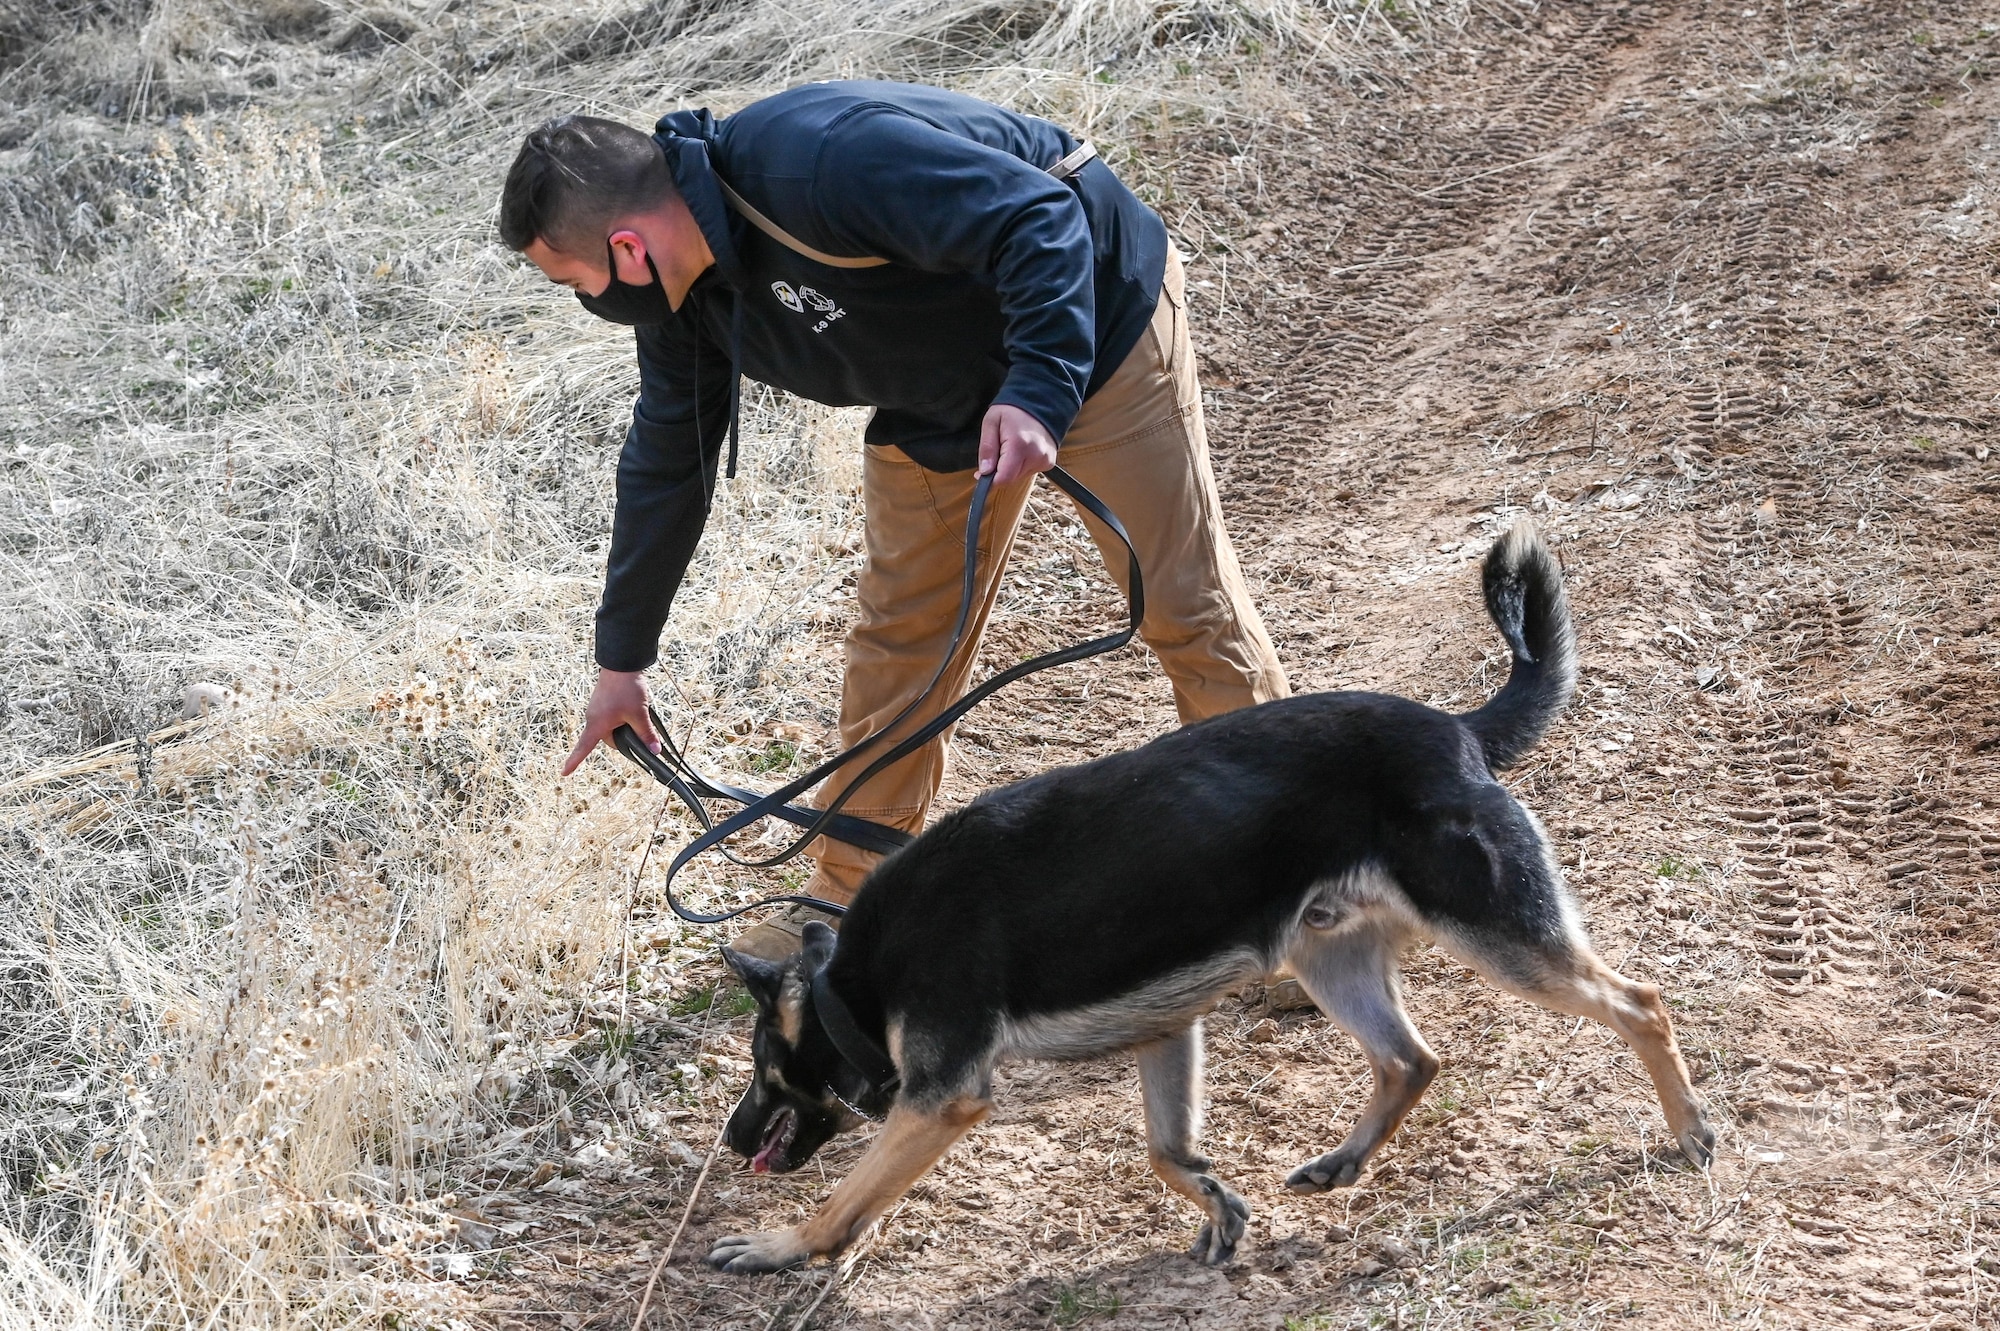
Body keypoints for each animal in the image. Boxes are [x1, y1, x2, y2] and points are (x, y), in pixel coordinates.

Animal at [708, 523, 1720, 1271]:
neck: (855, 984)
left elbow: (848, 1195)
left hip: (1496, 932)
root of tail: (1456, 730)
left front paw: (780, 1243)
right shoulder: (1166, 1024)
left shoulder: (943, 1100)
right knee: (1412, 1061)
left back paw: (1692, 1129)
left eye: (762, 1071)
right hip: (1328, 954)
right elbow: (1168, 1149)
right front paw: (1218, 1207)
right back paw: (1342, 1162)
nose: (729, 1138)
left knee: (1639, 1001)